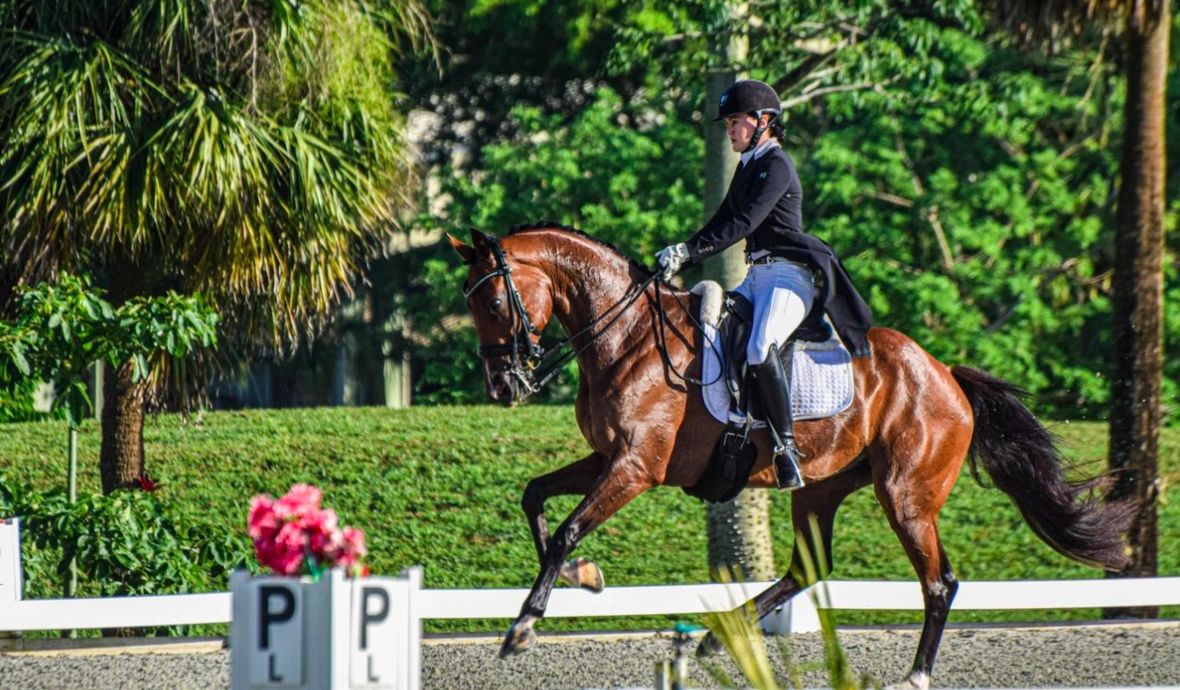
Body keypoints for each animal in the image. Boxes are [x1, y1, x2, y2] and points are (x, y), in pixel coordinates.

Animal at [446, 222, 1128, 684]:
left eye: (496, 300)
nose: (504, 387)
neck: (628, 337)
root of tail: (947, 375)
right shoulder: (607, 458)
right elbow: (536, 497)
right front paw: (585, 578)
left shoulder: (635, 468)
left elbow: (565, 529)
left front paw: (523, 626)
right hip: (823, 488)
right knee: (806, 568)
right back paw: (717, 638)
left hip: (906, 497)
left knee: (939, 582)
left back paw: (913, 675)